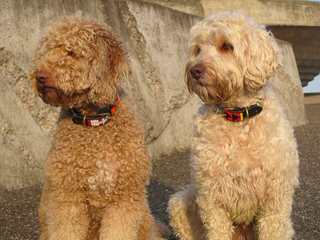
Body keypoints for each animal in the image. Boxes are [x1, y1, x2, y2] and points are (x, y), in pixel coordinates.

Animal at [30, 17, 165, 240]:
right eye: (47, 51)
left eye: (71, 52)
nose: (39, 76)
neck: (94, 123)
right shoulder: (68, 198)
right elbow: (66, 229)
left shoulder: (124, 198)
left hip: (145, 218)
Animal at [169, 13, 298, 240]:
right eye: (197, 49)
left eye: (227, 46)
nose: (194, 70)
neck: (238, 117)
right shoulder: (211, 197)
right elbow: (217, 229)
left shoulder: (275, 197)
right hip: (179, 202)